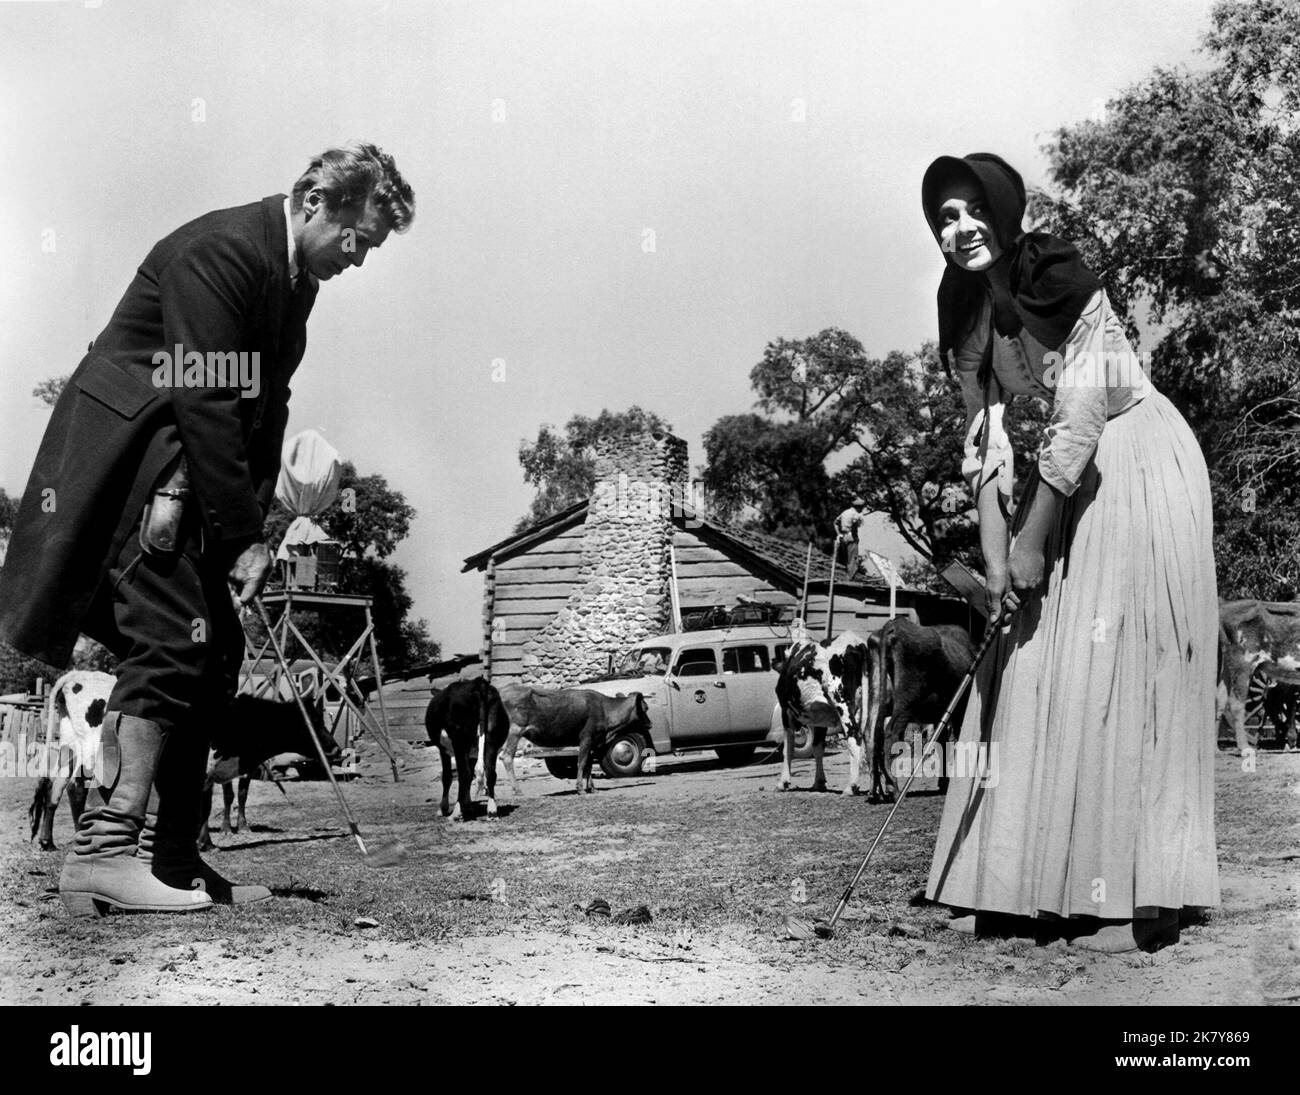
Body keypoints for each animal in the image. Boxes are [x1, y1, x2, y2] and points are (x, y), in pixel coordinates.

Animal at [423, 676, 509, 821]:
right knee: (490, 773)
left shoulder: (443, 750)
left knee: (463, 775)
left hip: (459, 742)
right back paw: (492, 811)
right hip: (492, 740)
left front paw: (443, 808)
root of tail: (479, 683)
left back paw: (456, 813)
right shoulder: (472, 754)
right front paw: (468, 806)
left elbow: (447, 777)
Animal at [499, 681, 655, 795]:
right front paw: (580, 788)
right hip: (515, 731)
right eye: (645, 707)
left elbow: (589, 765)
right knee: (506, 757)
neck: (605, 710)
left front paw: (592, 788)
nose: (651, 723)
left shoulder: (594, 742)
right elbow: (581, 762)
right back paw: (517, 790)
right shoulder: (586, 738)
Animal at [774, 626, 868, 790]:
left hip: (842, 702)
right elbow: (818, 748)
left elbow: (788, 748)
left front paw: (783, 782)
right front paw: (819, 782)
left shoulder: (786, 712)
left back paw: (851, 786)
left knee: (854, 736)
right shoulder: (821, 718)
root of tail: (856, 645)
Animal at [868, 619, 972, 795]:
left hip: (880, 702)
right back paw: (894, 787)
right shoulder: (958, 711)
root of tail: (894, 624)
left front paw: (943, 783)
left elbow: (942, 742)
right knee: (892, 734)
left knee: (877, 735)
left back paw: (878, 789)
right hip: (907, 700)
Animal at [1211, 598, 1300, 749]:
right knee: (1236, 704)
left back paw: (1216, 749)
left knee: (1220, 698)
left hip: (1229, 666)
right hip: (1243, 662)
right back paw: (1245, 748)